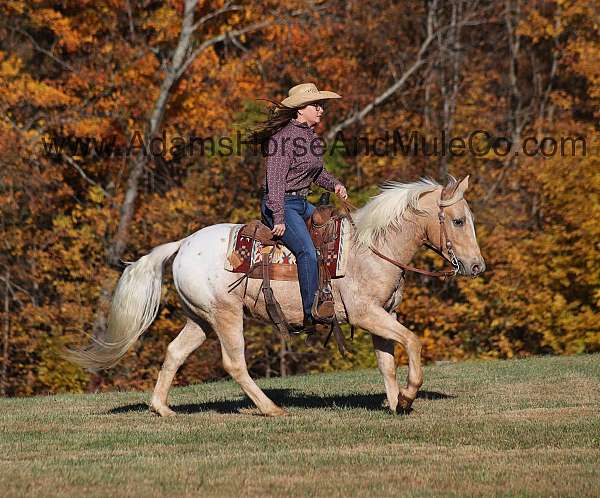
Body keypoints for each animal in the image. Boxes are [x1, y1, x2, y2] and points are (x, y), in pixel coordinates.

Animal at [68, 175, 486, 416]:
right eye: (458, 220)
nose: (476, 266)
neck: (371, 248)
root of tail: (183, 244)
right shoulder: (367, 314)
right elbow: (413, 343)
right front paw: (410, 396)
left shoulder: (382, 317)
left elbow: (387, 362)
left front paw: (396, 403)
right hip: (225, 315)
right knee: (234, 363)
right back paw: (271, 409)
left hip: (200, 319)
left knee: (174, 352)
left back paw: (162, 409)